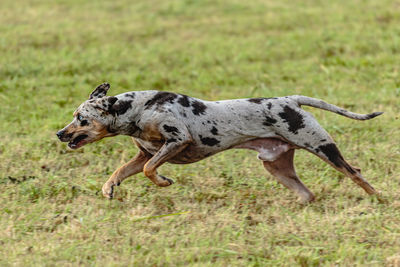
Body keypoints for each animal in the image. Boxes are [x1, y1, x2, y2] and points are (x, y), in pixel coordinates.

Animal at [55, 84, 382, 203]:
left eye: (81, 118)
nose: (60, 133)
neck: (137, 109)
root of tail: (290, 100)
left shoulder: (177, 140)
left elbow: (150, 171)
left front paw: (164, 182)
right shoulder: (144, 154)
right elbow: (122, 170)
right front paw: (109, 187)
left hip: (322, 148)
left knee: (355, 173)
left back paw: (379, 199)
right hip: (277, 167)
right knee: (308, 194)